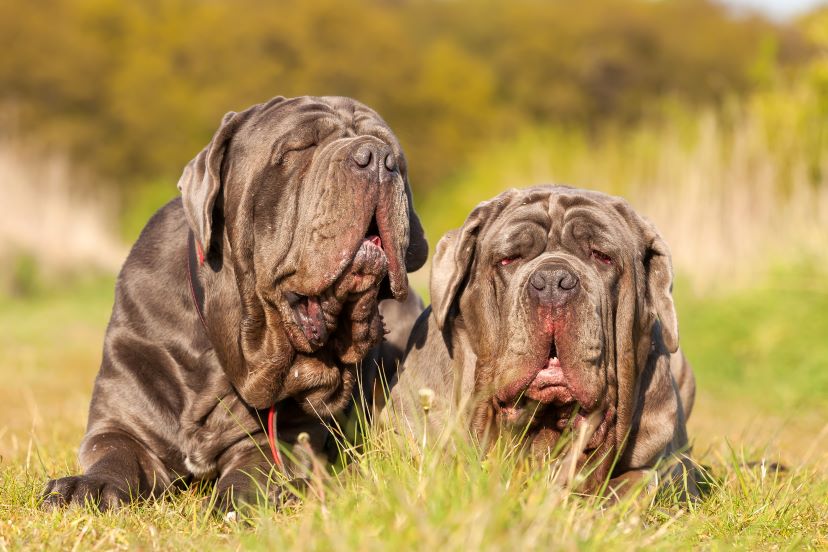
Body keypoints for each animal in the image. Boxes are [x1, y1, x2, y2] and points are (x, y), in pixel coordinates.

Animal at [40, 96, 426, 512]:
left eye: (396, 159)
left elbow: (253, 468)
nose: (378, 158)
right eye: (299, 149)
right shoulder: (121, 420)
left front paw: (237, 500)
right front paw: (87, 486)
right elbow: (116, 451)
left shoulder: (280, 438)